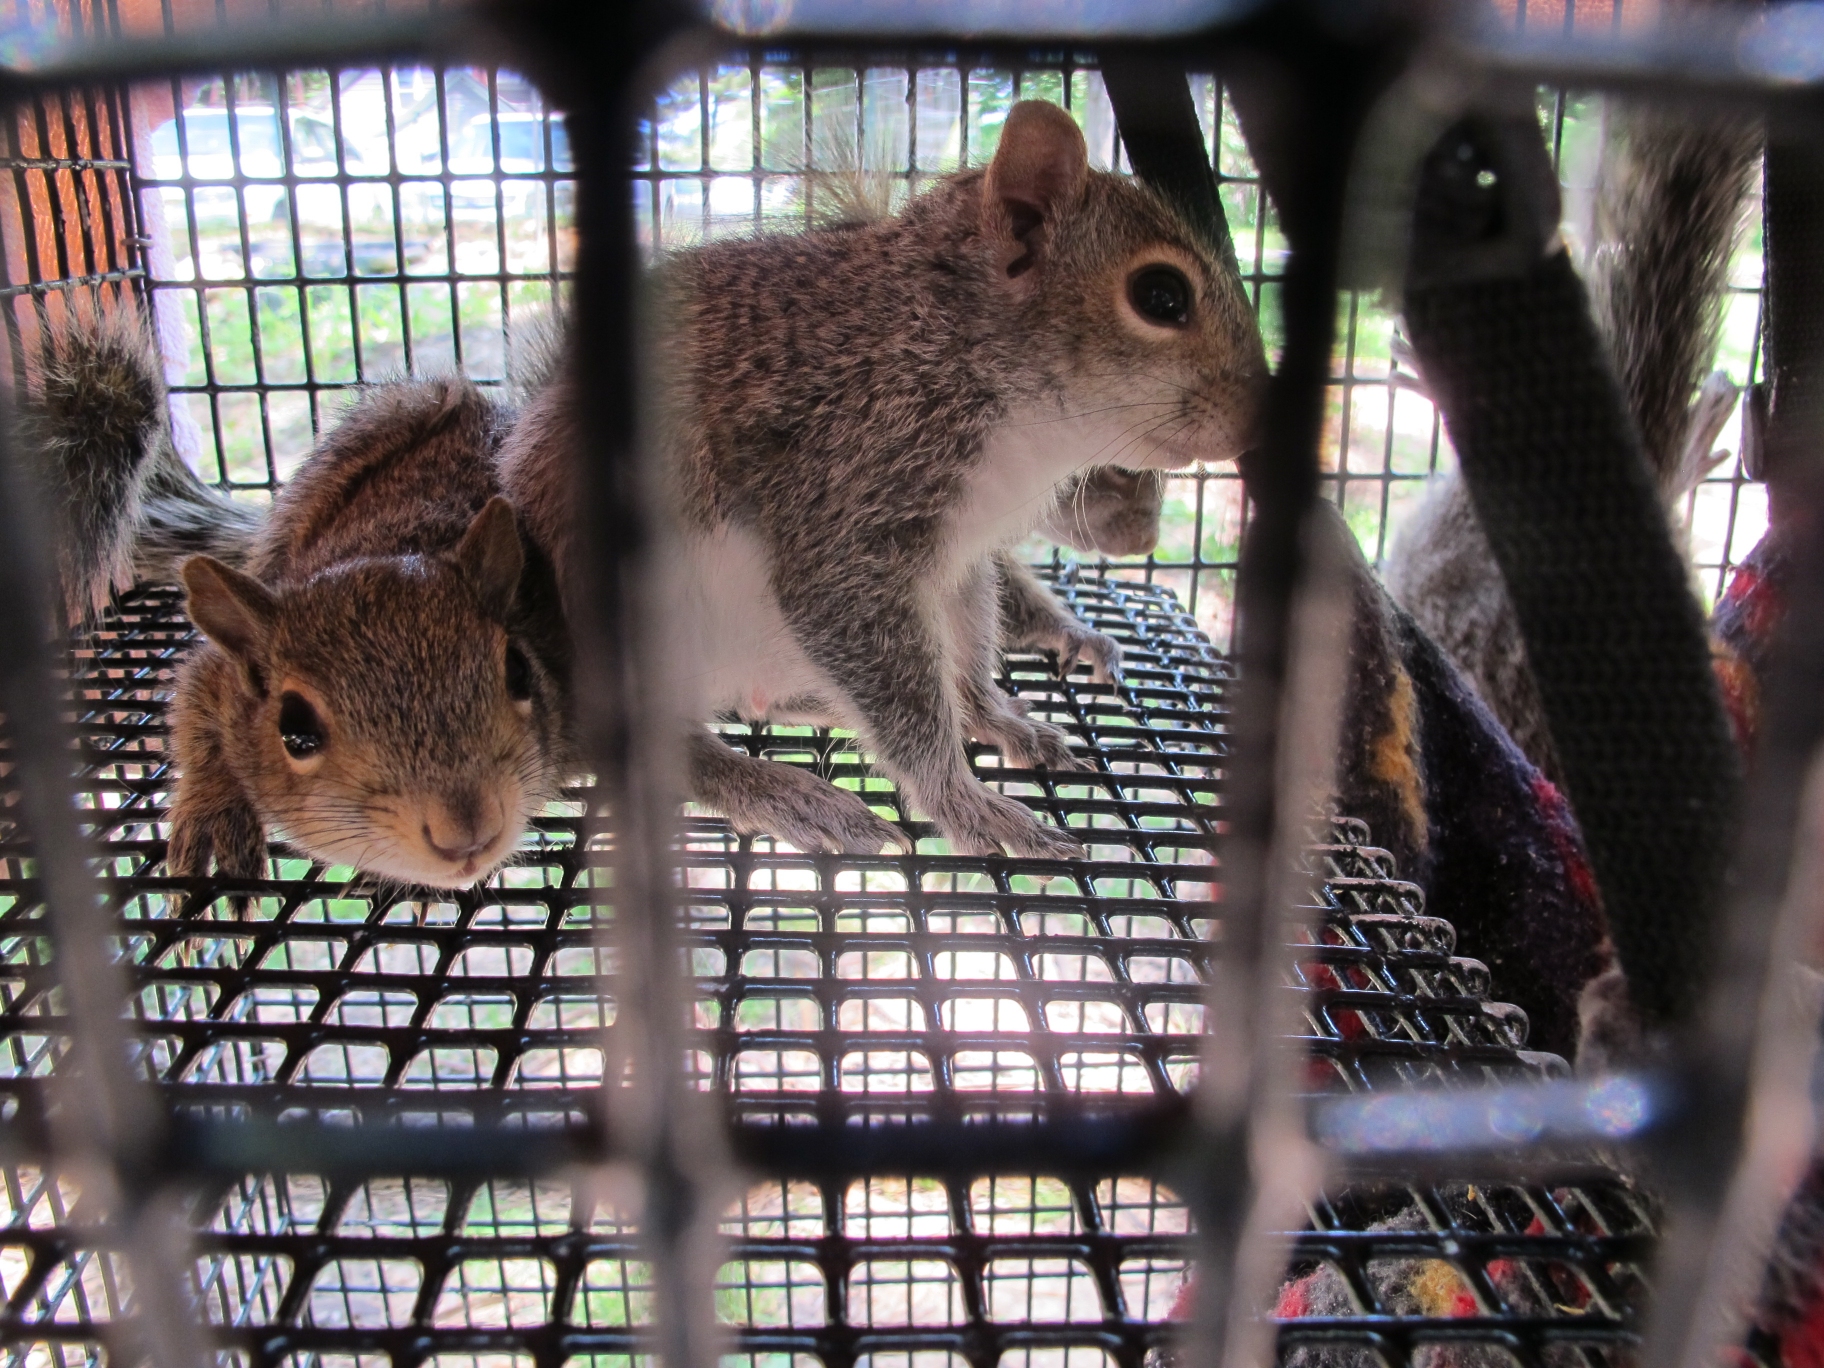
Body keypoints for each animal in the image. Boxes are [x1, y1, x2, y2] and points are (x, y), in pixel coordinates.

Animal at [23, 310, 569, 890]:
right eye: (295, 731)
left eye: (519, 672)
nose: (465, 832)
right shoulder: (221, 675)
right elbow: (193, 709)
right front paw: (213, 811)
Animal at [499, 101, 1269, 860]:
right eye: (1161, 296)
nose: (1257, 426)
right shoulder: (849, 494)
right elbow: (878, 658)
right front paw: (965, 803)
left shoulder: (960, 556)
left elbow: (966, 647)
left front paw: (994, 716)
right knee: (654, 743)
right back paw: (782, 791)